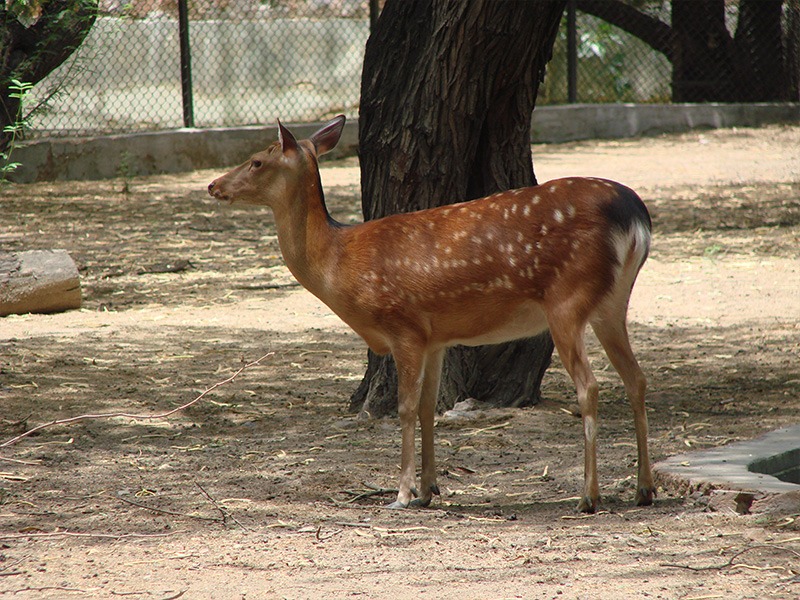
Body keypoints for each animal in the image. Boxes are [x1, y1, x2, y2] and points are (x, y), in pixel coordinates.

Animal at [209, 116, 652, 510]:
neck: (339, 263)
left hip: (567, 300)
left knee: (590, 386)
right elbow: (428, 408)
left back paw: (588, 497)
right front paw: (428, 490)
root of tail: (636, 215)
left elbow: (405, 408)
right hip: (613, 303)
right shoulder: (436, 336)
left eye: (257, 161)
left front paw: (402, 495)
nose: (213, 185)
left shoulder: (403, 324)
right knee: (636, 378)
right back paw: (644, 489)